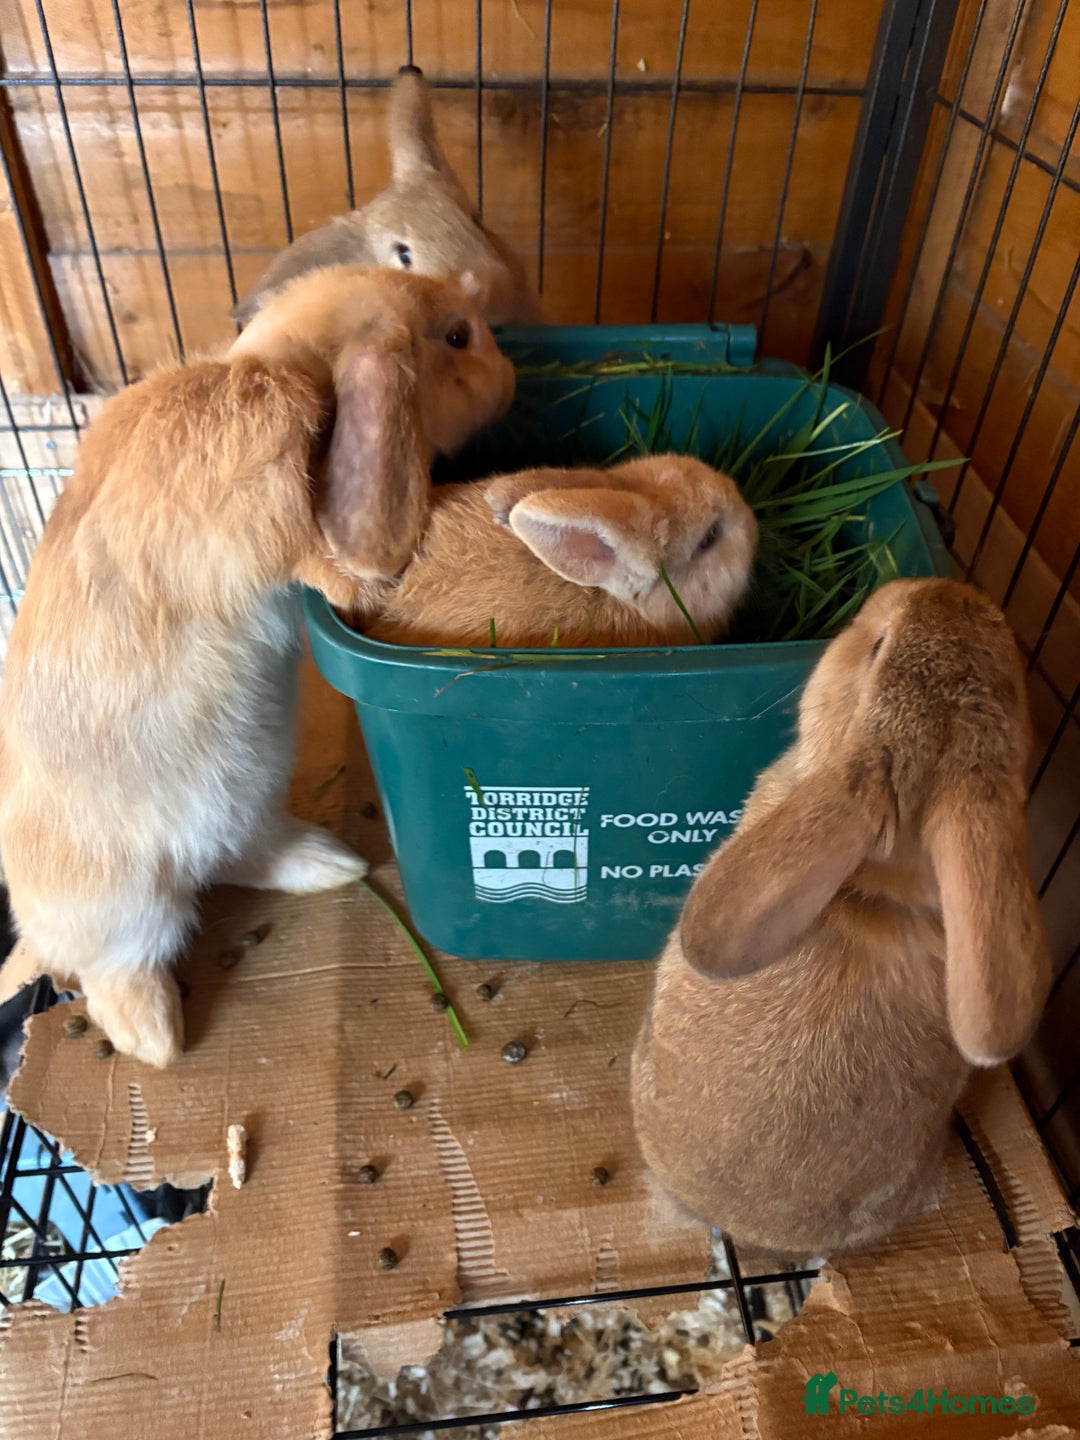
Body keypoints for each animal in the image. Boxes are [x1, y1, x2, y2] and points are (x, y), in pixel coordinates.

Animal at [0, 264, 515, 1068]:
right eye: (458, 336)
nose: (514, 376)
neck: (286, 364)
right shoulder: (254, 505)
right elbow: (304, 549)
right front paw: (369, 586)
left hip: (248, 800)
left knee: (239, 858)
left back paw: (332, 865)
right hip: (122, 905)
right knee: (116, 966)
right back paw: (154, 1039)